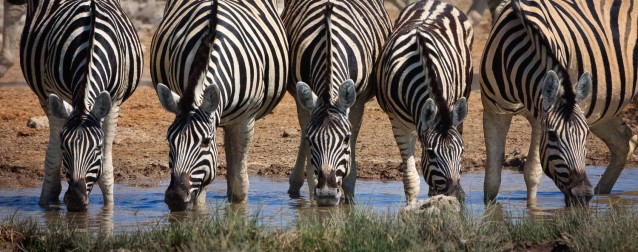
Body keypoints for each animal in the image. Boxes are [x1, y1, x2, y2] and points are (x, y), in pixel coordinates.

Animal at [16, 0, 143, 211]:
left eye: (97, 148)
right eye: (64, 146)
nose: (75, 200)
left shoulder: (114, 103)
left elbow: (106, 167)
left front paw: (109, 209)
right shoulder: (54, 93)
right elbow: (53, 156)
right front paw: (44, 205)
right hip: (44, 95)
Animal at [151, 0, 288, 211]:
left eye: (205, 141)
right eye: (168, 139)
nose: (175, 197)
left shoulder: (245, 121)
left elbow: (240, 185)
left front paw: (238, 212)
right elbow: (200, 195)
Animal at [286, 0, 396, 206]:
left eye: (345, 138)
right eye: (311, 140)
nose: (327, 195)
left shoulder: (358, 101)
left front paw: (350, 200)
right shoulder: (302, 100)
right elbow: (308, 154)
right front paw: (313, 203)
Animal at [376, 0, 476, 205]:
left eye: (462, 152)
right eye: (431, 154)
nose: (457, 196)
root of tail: (436, 2)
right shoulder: (398, 124)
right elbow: (410, 179)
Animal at [484, 0, 638, 207]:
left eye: (586, 136)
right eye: (552, 136)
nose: (582, 194)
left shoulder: (538, 117)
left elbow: (532, 172)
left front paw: (533, 210)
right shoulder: (494, 112)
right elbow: (492, 181)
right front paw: (490, 210)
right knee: (622, 142)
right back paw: (602, 194)